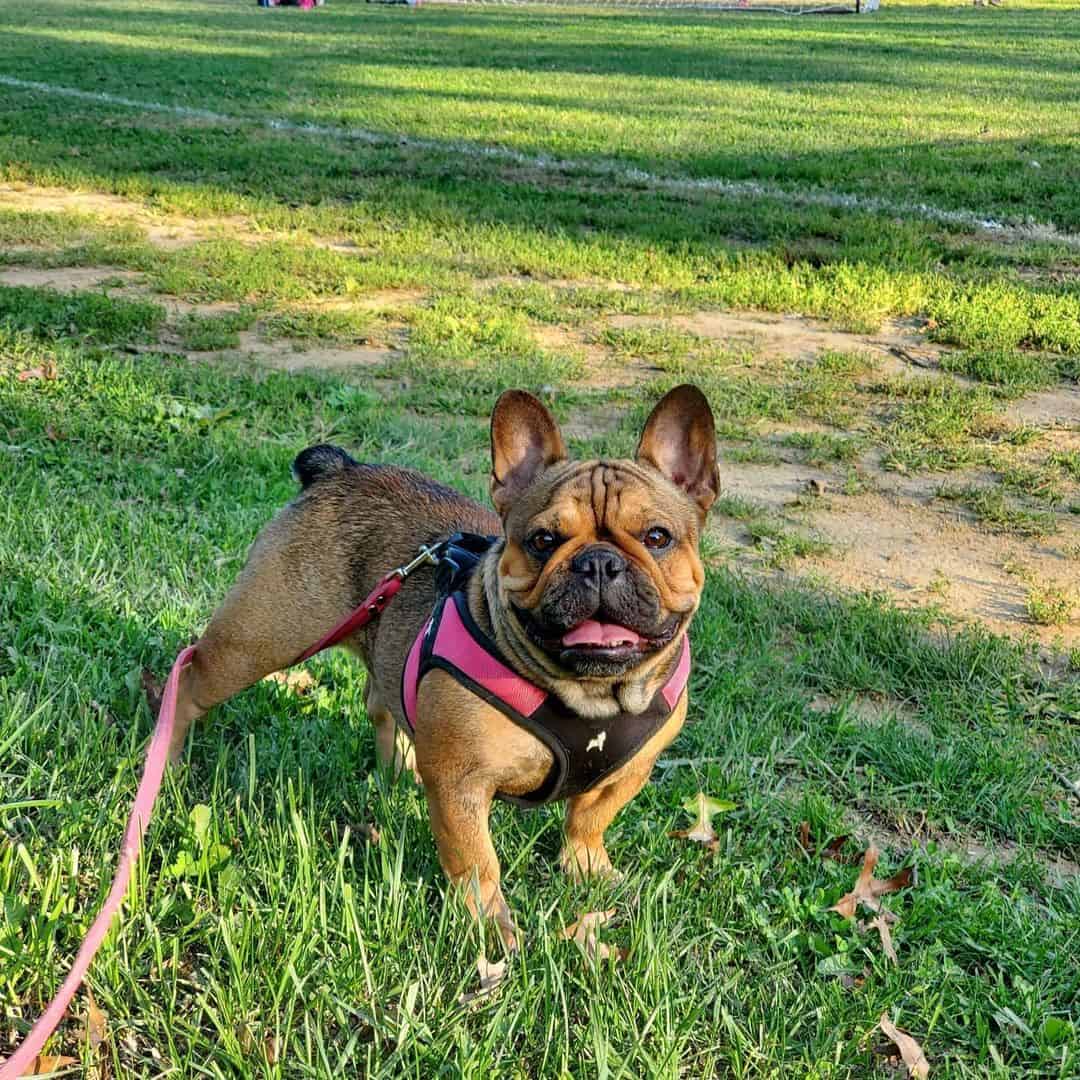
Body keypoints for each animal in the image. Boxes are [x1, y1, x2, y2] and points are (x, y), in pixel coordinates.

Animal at [166, 382, 717, 946]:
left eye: (656, 538)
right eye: (543, 541)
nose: (599, 563)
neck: (591, 696)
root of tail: (340, 468)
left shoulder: (631, 770)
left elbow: (590, 820)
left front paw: (588, 870)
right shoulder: (461, 786)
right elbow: (477, 862)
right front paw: (490, 927)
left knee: (382, 701)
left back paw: (400, 771)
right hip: (257, 641)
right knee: (187, 683)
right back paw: (168, 764)